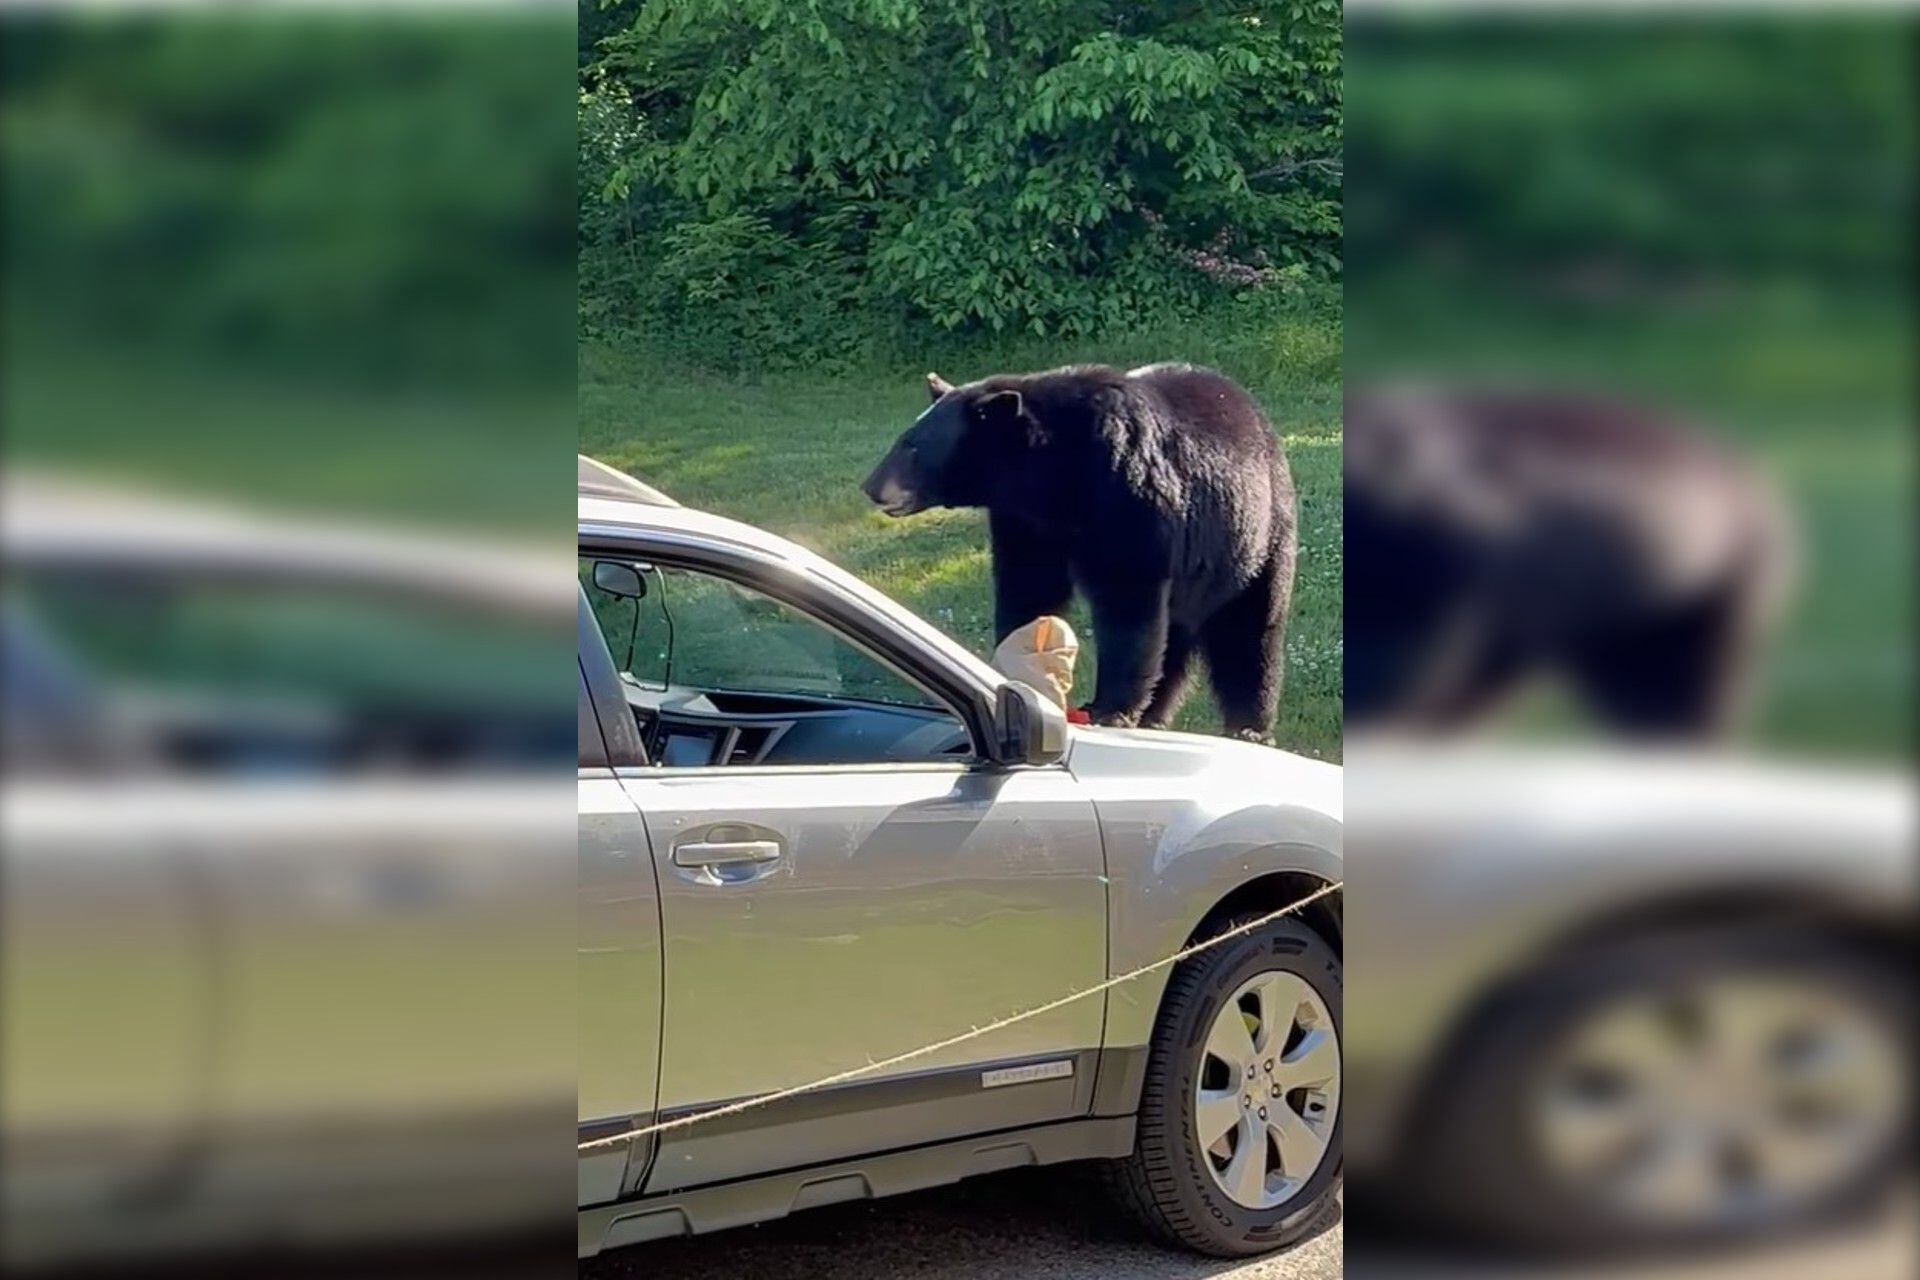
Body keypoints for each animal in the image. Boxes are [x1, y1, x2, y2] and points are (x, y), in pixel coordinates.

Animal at [867, 362, 1290, 740]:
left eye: (912, 446)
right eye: (905, 438)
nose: (870, 486)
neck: (1055, 473)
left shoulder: (1125, 491)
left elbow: (1127, 600)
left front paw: (1109, 709)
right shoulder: (1025, 521)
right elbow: (1029, 586)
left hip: (1255, 534)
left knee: (1249, 628)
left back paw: (1249, 726)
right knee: (1176, 637)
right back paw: (1155, 714)